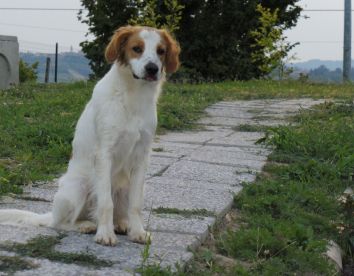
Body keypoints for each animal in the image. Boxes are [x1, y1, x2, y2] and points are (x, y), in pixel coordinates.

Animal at [0, 25, 181, 246]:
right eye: (137, 48)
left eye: (161, 51)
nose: (152, 68)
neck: (133, 96)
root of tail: (51, 214)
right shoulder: (104, 153)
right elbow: (105, 203)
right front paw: (105, 234)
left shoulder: (141, 156)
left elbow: (136, 204)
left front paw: (137, 231)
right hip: (78, 188)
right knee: (61, 223)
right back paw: (85, 225)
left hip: (126, 187)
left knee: (120, 211)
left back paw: (122, 224)